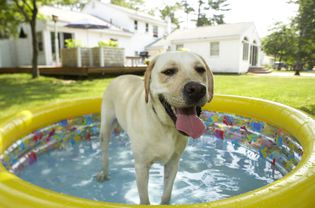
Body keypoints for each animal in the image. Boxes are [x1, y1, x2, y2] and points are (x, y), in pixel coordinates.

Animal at [97, 51, 215, 204]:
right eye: (169, 71)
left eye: (200, 69)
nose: (197, 89)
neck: (165, 126)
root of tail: (119, 77)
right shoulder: (141, 167)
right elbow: (145, 200)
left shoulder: (173, 163)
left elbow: (166, 195)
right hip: (105, 128)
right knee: (105, 154)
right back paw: (104, 173)